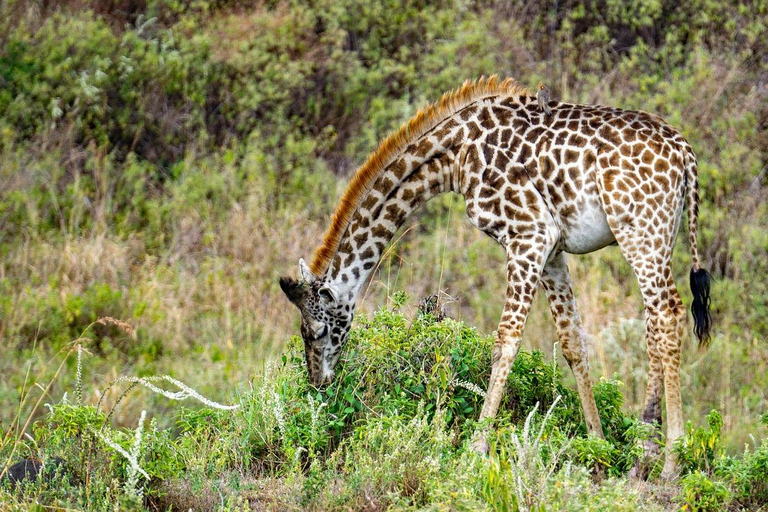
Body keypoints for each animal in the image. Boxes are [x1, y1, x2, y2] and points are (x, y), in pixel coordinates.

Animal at [280, 77, 712, 480]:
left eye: (317, 331)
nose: (318, 385)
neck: (454, 156)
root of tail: (686, 154)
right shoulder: (551, 250)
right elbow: (572, 342)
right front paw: (597, 449)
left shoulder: (528, 234)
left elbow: (505, 341)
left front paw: (476, 449)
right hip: (658, 235)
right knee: (654, 323)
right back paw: (643, 454)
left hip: (640, 231)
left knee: (667, 315)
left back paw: (668, 461)